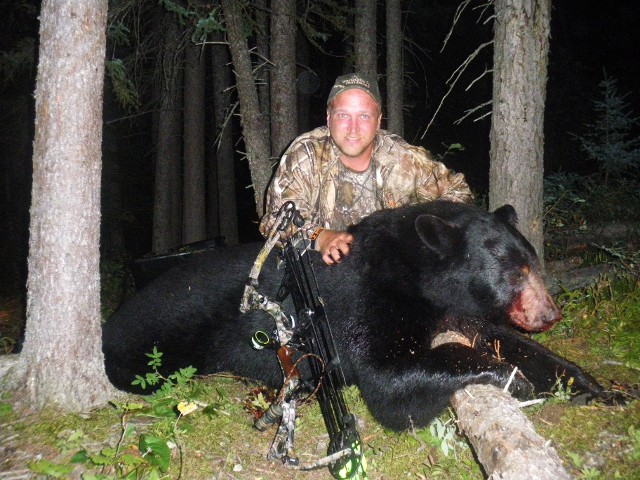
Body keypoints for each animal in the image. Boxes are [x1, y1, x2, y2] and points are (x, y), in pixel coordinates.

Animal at [103, 200, 608, 431]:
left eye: (533, 263)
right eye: (514, 272)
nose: (550, 313)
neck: (420, 277)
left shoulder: (465, 313)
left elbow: (513, 342)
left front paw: (598, 388)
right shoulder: (369, 301)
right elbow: (389, 381)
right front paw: (511, 379)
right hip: (159, 336)